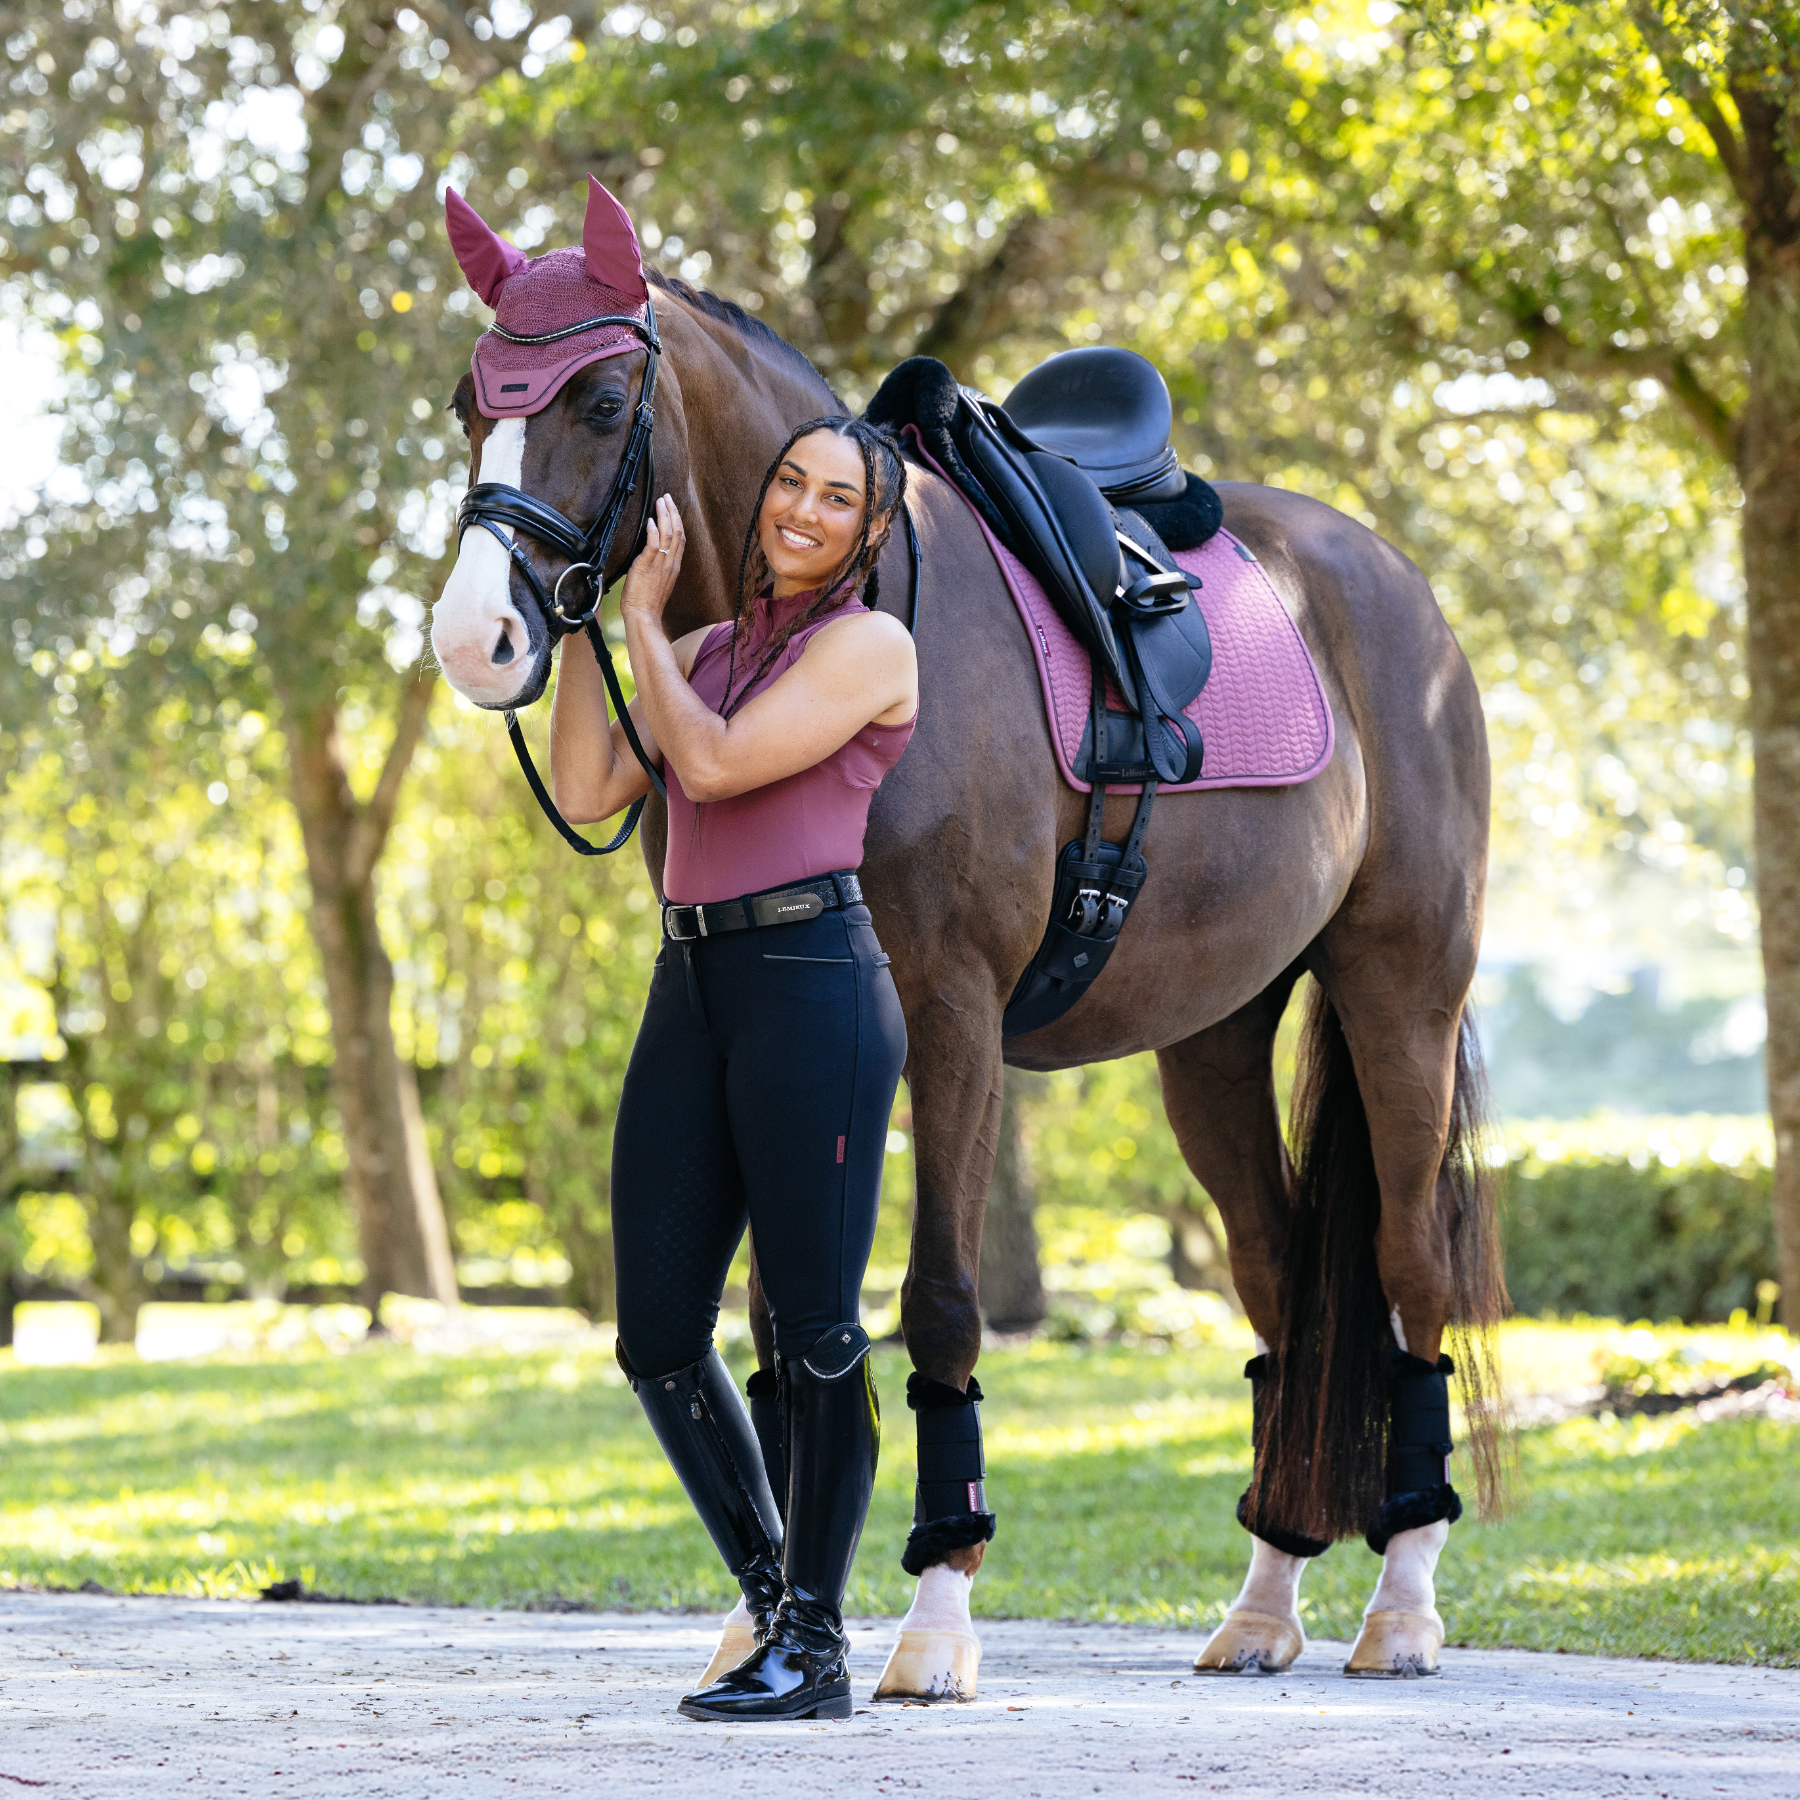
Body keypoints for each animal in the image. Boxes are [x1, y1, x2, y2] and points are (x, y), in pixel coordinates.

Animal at [432, 186, 1504, 1699]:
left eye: (595, 398)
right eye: (473, 402)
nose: (476, 635)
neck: (861, 603)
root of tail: (1397, 591)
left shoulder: (945, 1019)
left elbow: (937, 1302)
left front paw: (934, 1617)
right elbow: (780, 1328)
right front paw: (769, 1625)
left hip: (1397, 991)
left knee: (1411, 1271)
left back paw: (1400, 1602)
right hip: (1215, 1042)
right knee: (1280, 1285)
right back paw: (1263, 1603)